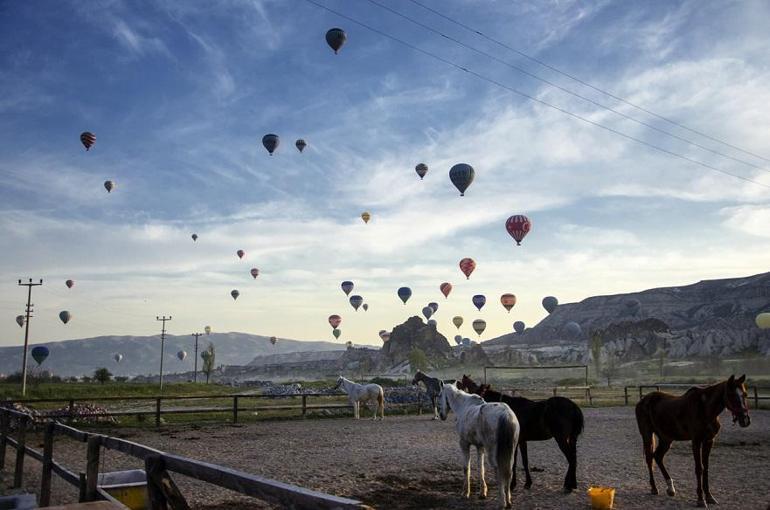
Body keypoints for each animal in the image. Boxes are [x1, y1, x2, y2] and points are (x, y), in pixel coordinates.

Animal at [438, 380, 516, 508]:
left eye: (439, 395)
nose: (441, 415)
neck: (463, 407)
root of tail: (506, 414)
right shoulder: (480, 447)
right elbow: (481, 468)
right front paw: (482, 492)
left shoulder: (464, 444)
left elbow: (466, 468)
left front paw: (465, 492)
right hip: (511, 452)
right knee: (509, 471)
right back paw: (508, 500)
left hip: (493, 453)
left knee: (499, 471)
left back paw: (502, 502)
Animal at [456, 372, 584, 492]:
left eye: (475, 390)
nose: (462, 380)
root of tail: (574, 407)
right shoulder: (522, 441)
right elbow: (525, 461)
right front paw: (527, 483)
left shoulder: (515, 441)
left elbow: (513, 462)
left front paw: (513, 484)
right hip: (571, 438)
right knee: (574, 458)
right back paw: (572, 484)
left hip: (561, 438)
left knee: (571, 459)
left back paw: (569, 485)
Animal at [632, 372, 748, 508]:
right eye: (731, 394)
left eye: (745, 394)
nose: (745, 420)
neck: (705, 409)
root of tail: (643, 400)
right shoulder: (696, 441)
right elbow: (699, 468)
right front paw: (700, 499)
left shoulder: (709, 441)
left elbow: (706, 468)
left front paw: (709, 497)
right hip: (647, 435)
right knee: (650, 459)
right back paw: (654, 488)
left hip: (666, 438)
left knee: (658, 457)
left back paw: (670, 488)